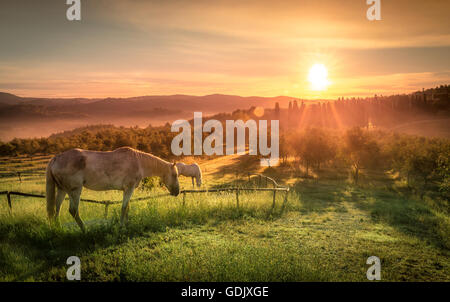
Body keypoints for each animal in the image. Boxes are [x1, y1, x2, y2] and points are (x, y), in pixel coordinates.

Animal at [45, 147, 179, 231]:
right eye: (175, 175)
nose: (177, 192)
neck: (138, 162)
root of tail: (56, 158)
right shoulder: (129, 188)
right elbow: (124, 208)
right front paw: (121, 227)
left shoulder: (126, 190)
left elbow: (127, 208)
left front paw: (127, 224)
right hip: (75, 191)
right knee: (73, 211)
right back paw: (85, 230)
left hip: (62, 190)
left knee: (56, 210)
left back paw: (59, 229)